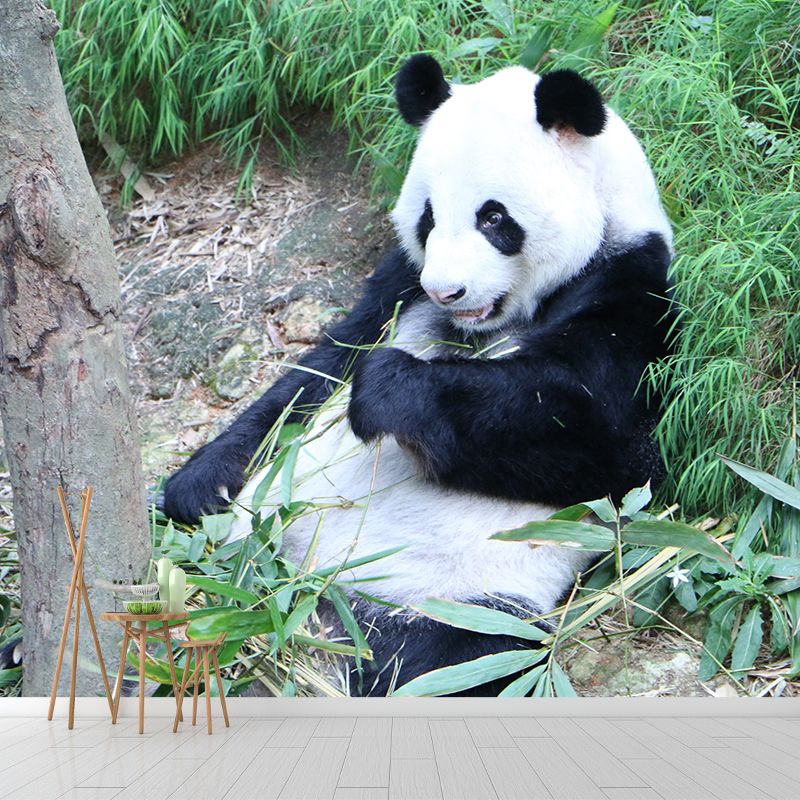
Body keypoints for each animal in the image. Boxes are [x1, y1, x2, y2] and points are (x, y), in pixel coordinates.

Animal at [163, 55, 676, 696]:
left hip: (457, 596)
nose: (445, 291)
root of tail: (307, 600)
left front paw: (388, 391)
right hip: (233, 553)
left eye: (494, 218)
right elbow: (314, 375)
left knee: (446, 660)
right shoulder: (398, 285)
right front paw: (200, 483)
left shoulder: (630, 290)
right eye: (429, 218)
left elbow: (608, 447)